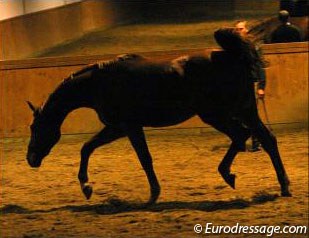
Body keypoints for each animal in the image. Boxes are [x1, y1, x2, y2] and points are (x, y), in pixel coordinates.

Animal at [25, 28, 288, 204]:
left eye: (35, 128)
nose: (31, 159)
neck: (101, 82)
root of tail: (234, 56)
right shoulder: (116, 127)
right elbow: (87, 147)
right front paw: (87, 187)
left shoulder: (129, 127)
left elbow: (144, 158)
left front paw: (153, 195)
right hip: (245, 111)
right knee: (266, 139)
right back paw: (283, 185)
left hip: (217, 115)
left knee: (242, 136)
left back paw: (228, 174)